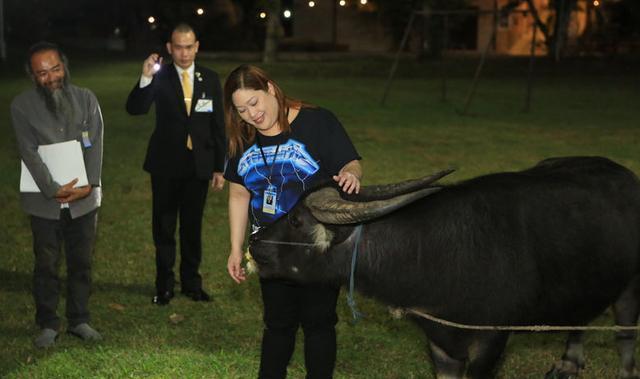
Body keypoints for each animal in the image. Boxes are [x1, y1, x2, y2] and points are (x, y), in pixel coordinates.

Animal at [248, 156, 640, 378]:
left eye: (296, 220)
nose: (254, 242)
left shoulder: (492, 340)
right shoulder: (440, 344)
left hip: (629, 289)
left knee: (625, 337)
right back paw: (569, 363)